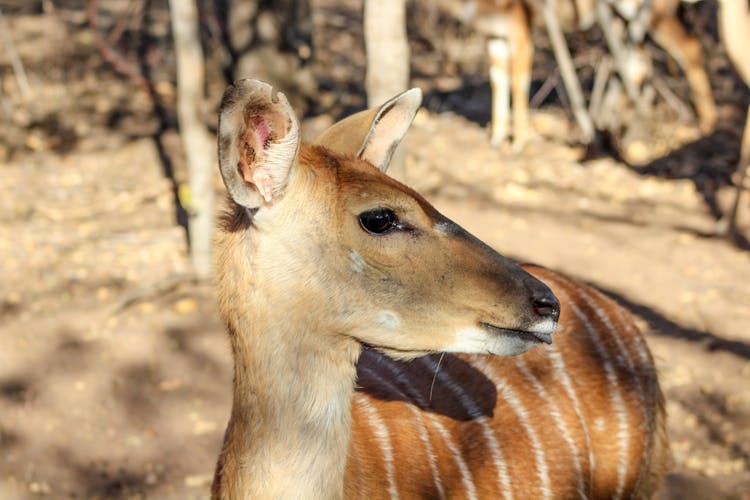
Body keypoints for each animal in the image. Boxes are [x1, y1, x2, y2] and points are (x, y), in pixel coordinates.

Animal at [472, 0, 720, 148]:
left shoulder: (520, 32)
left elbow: (518, 86)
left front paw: (519, 142)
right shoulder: (495, 35)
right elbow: (498, 82)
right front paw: (497, 137)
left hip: (650, 16)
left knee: (689, 48)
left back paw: (706, 122)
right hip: (627, 21)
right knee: (637, 65)